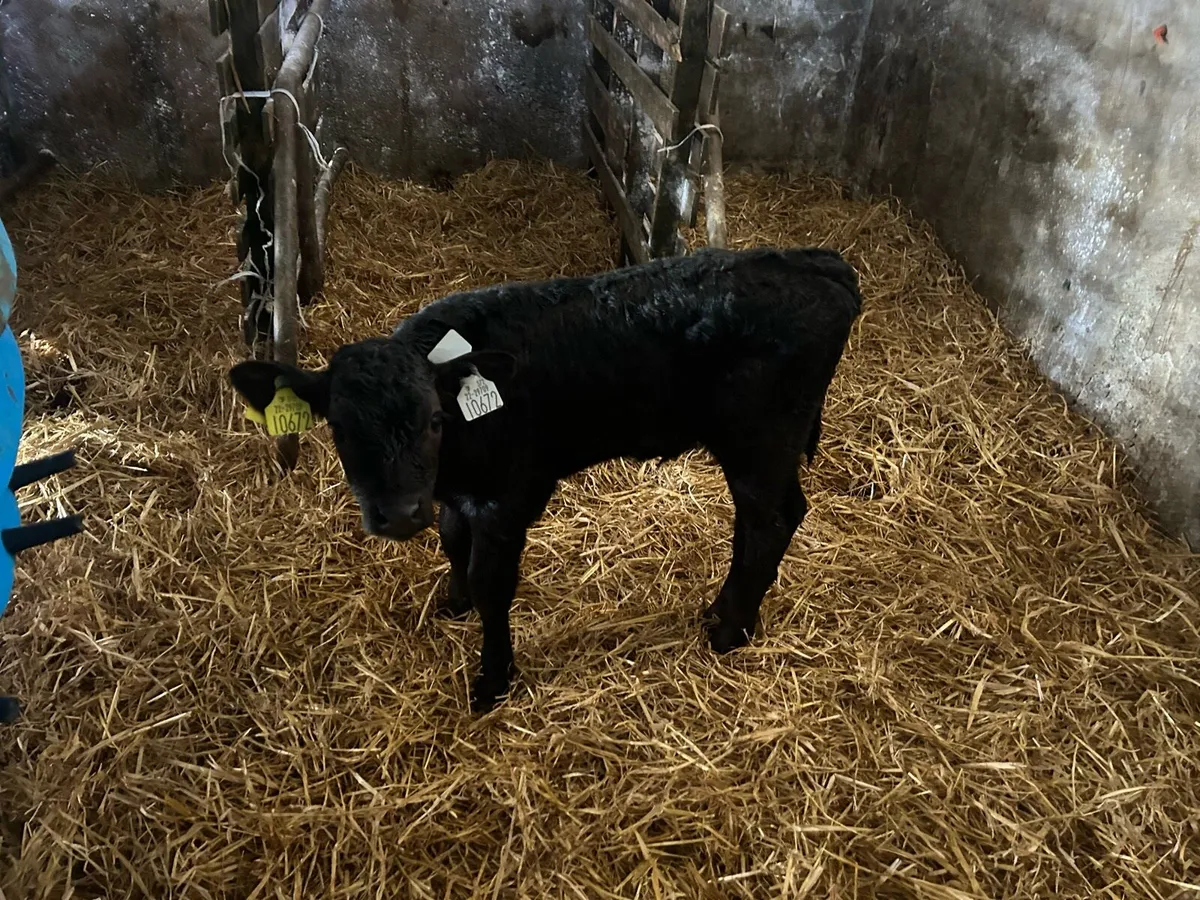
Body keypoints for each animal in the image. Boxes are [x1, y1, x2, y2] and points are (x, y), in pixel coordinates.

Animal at [230, 246, 862, 712]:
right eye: (338, 427)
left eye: (434, 419)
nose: (399, 514)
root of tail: (814, 261)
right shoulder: (460, 495)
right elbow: (453, 541)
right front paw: (454, 602)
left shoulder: (509, 497)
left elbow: (491, 582)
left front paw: (492, 680)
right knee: (772, 517)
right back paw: (725, 612)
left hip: (761, 440)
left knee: (768, 521)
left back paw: (729, 630)